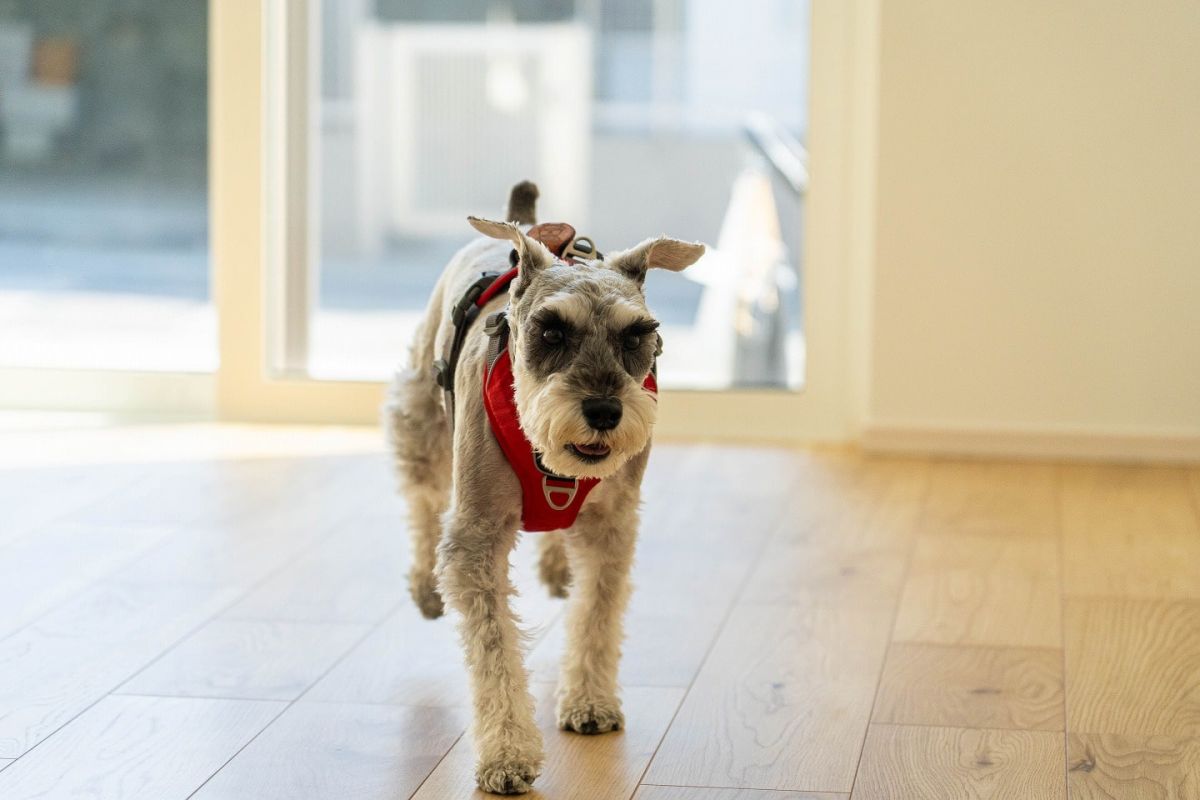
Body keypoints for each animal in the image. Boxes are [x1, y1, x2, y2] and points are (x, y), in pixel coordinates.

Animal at [384, 183, 700, 796]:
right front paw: (507, 755)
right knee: (422, 499)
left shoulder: (612, 525)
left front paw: (590, 702)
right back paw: (424, 586)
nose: (603, 410)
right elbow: (494, 649)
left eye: (639, 334)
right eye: (551, 331)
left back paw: (556, 566)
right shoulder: (477, 536)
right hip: (421, 420)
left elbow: (597, 613)